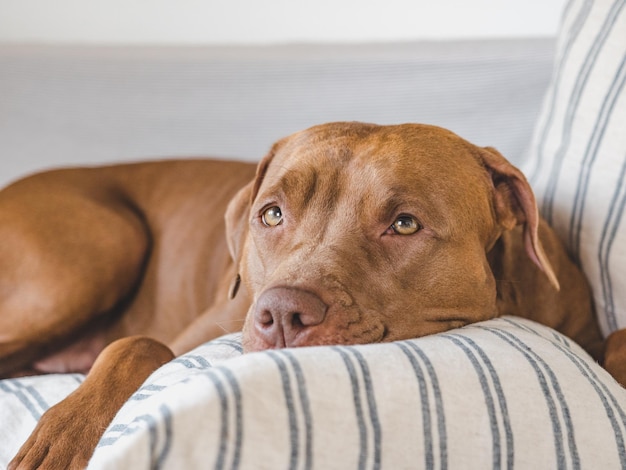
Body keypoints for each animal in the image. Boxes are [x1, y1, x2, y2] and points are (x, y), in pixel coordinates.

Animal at [3, 123, 620, 468]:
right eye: (272, 214)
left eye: (404, 223)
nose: (279, 312)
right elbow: (138, 345)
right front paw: (64, 436)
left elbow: (616, 340)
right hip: (99, 248)